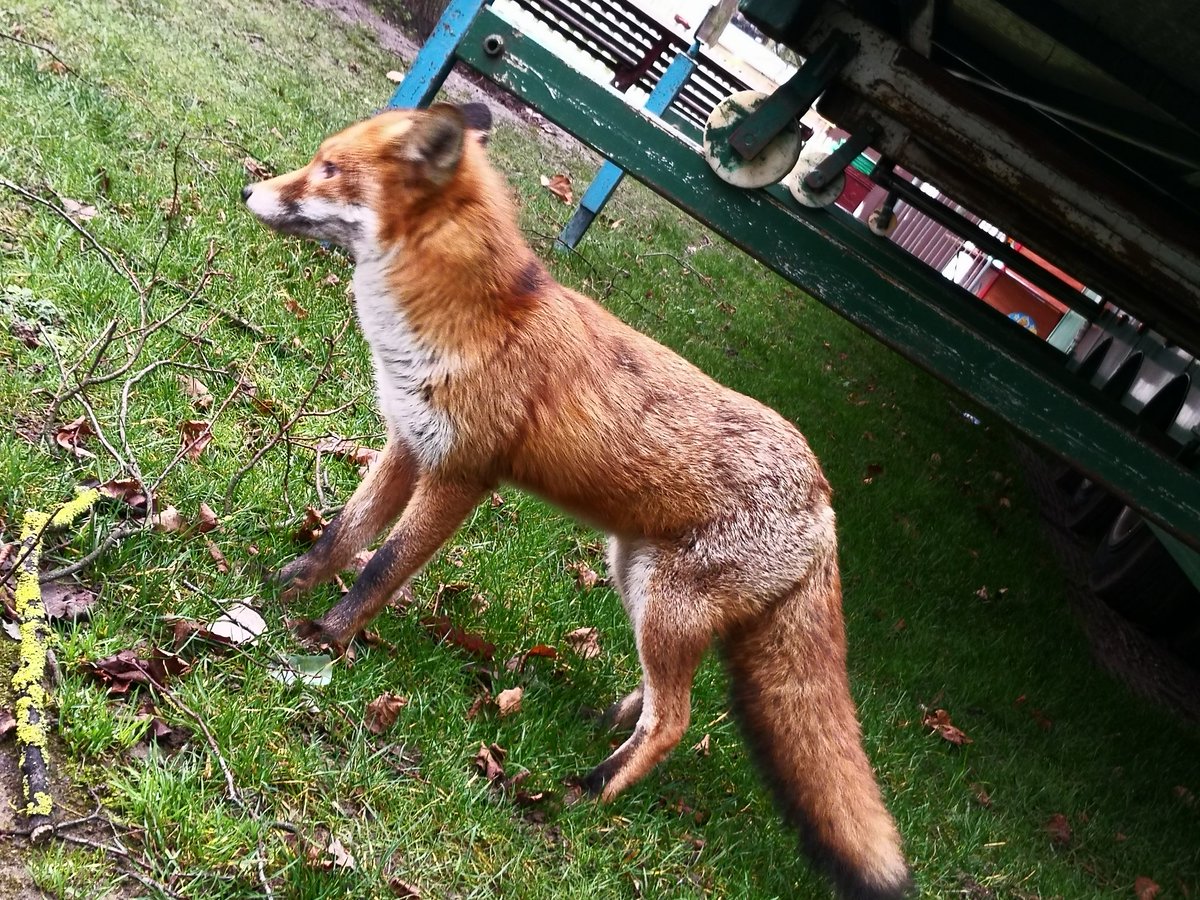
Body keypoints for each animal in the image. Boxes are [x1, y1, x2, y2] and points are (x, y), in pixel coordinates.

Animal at [241, 102, 912, 899]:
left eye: (330, 169)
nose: (248, 192)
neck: (474, 316)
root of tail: (824, 494)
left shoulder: (460, 476)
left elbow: (383, 565)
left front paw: (327, 638)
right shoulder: (407, 442)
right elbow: (342, 534)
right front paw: (286, 588)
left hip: (663, 602)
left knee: (677, 719)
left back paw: (591, 790)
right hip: (640, 580)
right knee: (666, 696)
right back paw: (607, 723)